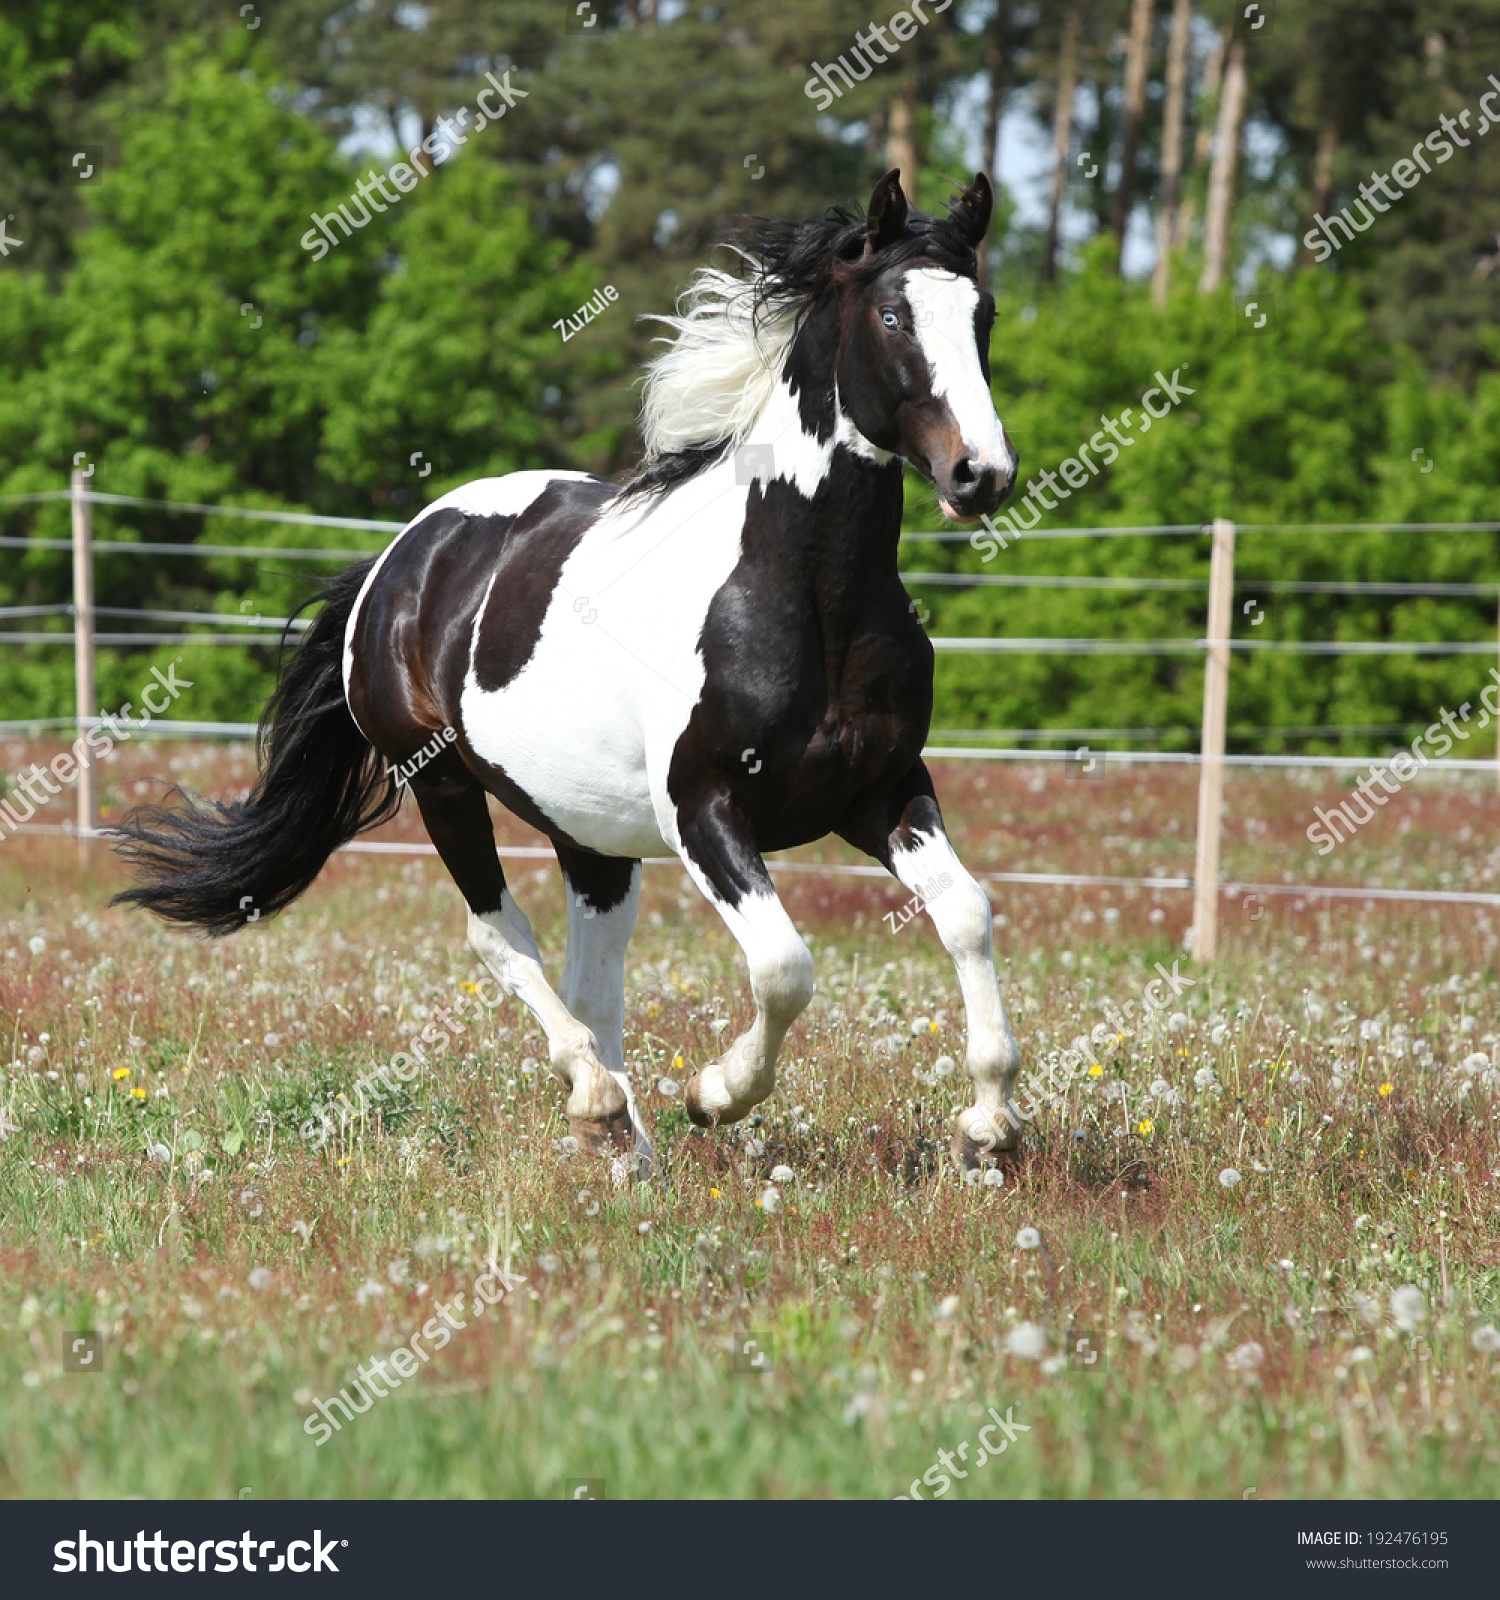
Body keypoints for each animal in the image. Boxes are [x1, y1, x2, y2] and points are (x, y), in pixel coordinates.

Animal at [116, 172, 1023, 1177]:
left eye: (983, 314)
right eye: (895, 314)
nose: (982, 474)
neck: (801, 595)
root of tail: (401, 555)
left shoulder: (883, 791)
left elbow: (967, 912)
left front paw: (987, 1124)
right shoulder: (705, 811)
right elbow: (784, 967)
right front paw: (715, 1094)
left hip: (590, 835)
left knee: (596, 978)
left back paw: (632, 1155)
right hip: (441, 784)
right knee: (500, 937)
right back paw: (597, 1102)